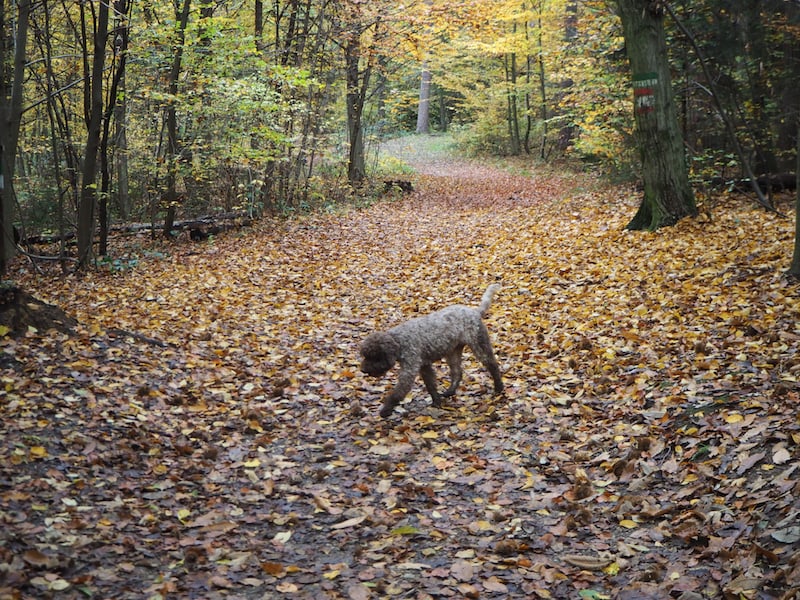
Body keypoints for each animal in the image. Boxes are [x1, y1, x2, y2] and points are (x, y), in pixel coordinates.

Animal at [360, 282, 504, 414]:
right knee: (457, 372)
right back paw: (450, 392)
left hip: (479, 346)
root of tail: (475, 312)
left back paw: (499, 388)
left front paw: (386, 409)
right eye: (365, 356)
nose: (363, 370)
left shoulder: (410, 370)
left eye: (374, 357)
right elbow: (430, 385)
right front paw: (437, 401)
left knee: (492, 365)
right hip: (453, 352)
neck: (399, 340)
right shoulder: (424, 366)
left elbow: (398, 393)